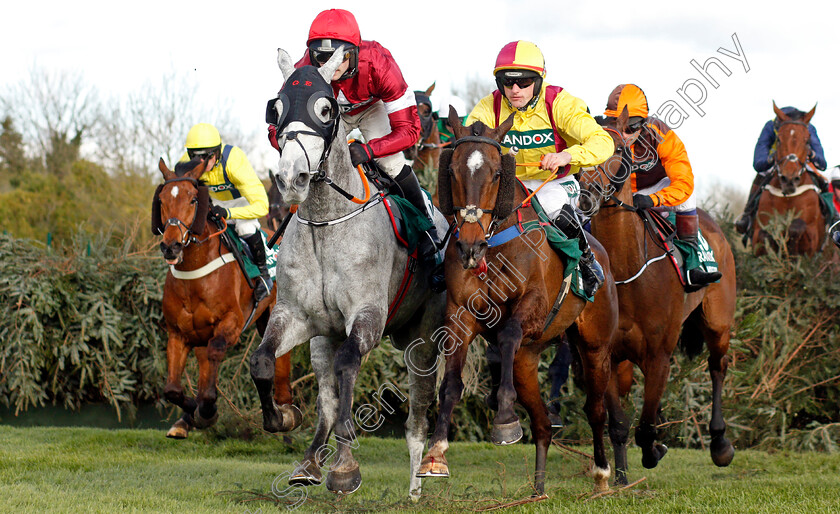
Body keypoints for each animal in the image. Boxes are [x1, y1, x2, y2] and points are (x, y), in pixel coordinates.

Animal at [153, 159, 300, 436]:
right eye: (162, 199)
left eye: (192, 199)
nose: (171, 246)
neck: (194, 274)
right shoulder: (178, 333)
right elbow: (172, 389)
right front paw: (192, 413)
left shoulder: (231, 323)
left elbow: (216, 353)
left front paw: (206, 409)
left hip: (273, 313)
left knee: (281, 357)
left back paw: (286, 411)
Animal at [248, 47, 450, 496]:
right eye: (277, 109)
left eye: (325, 110)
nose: (291, 178)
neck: (327, 220)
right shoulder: (295, 315)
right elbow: (263, 361)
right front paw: (280, 419)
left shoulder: (368, 316)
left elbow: (348, 369)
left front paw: (345, 466)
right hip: (325, 335)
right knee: (327, 391)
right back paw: (311, 461)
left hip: (425, 339)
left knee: (417, 413)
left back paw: (419, 481)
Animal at [418, 111, 620, 492]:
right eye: (452, 171)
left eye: (497, 173)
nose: (469, 246)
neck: (495, 244)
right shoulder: (460, 315)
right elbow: (451, 384)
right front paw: (435, 453)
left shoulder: (534, 306)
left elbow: (509, 332)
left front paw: (505, 419)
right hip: (528, 360)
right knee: (541, 422)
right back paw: (538, 490)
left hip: (595, 347)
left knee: (596, 408)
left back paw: (602, 474)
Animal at [576, 106, 736, 482]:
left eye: (617, 149)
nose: (586, 194)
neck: (626, 272)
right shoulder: (605, 352)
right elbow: (620, 423)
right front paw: (620, 478)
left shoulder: (660, 352)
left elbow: (646, 425)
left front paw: (653, 450)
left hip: (718, 322)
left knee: (717, 366)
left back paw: (720, 443)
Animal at [752, 101, 824, 253]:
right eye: (778, 139)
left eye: (807, 141)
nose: (789, 180)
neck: (788, 197)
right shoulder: (756, 237)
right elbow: (764, 234)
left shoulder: (812, 238)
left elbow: (796, 227)